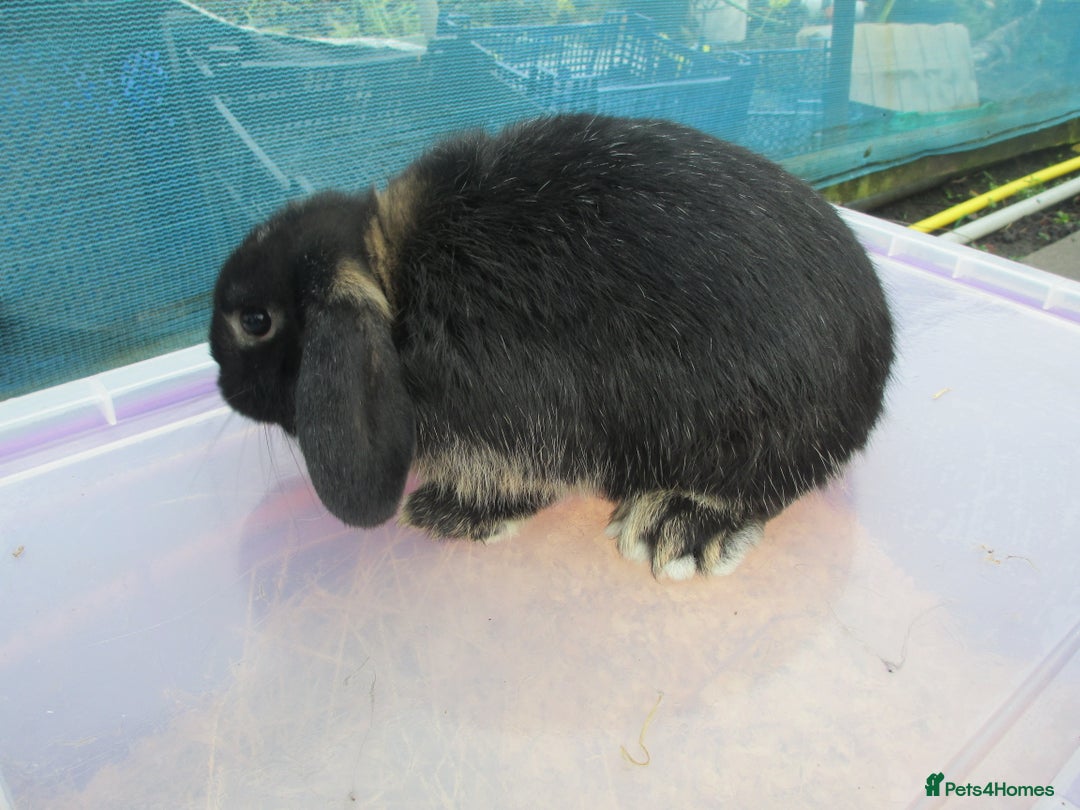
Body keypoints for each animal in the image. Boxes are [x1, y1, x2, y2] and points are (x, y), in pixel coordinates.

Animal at [209, 113, 894, 580]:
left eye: (255, 320)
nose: (220, 381)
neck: (397, 290)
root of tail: (876, 360)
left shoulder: (510, 431)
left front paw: (442, 515)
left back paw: (675, 527)